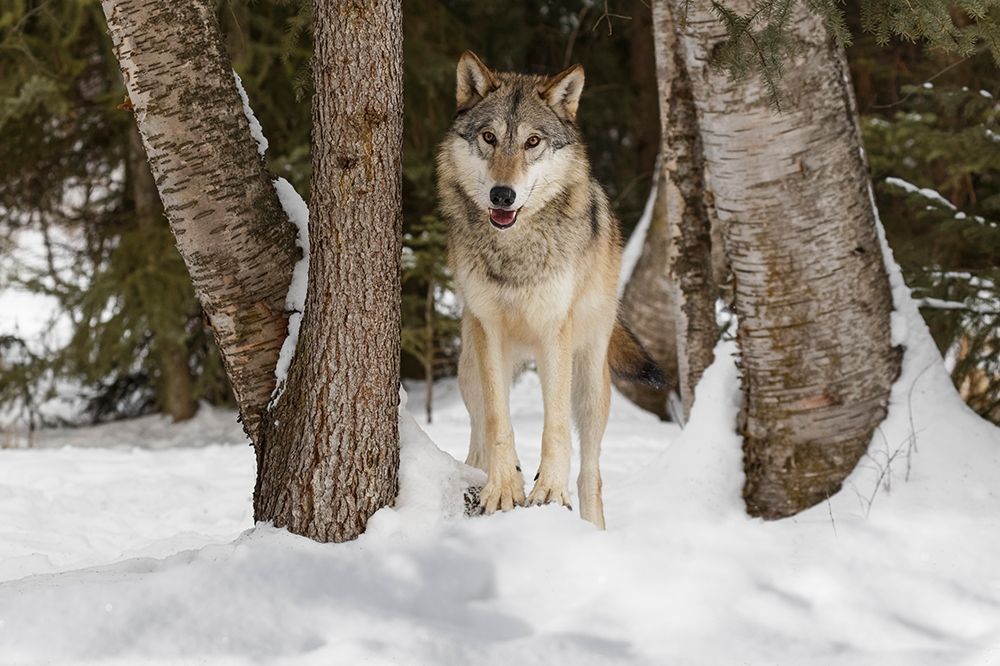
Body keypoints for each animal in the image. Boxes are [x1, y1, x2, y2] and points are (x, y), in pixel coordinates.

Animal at [436, 52, 664, 528]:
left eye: (533, 142)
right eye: (489, 137)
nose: (502, 195)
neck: (514, 250)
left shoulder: (553, 332)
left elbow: (555, 427)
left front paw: (549, 490)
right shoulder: (488, 330)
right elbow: (499, 422)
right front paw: (504, 489)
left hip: (590, 384)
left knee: (592, 472)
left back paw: (591, 526)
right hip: (470, 369)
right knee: (478, 434)